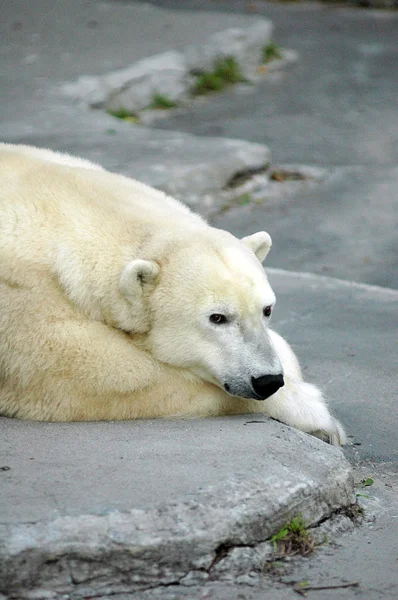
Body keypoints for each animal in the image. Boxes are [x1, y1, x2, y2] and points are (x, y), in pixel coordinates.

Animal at [0, 144, 346, 446]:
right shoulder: (23, 297)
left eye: (267, 310)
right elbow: (92, 374)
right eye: (217, 317)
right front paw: (314, 415)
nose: (267, 380)